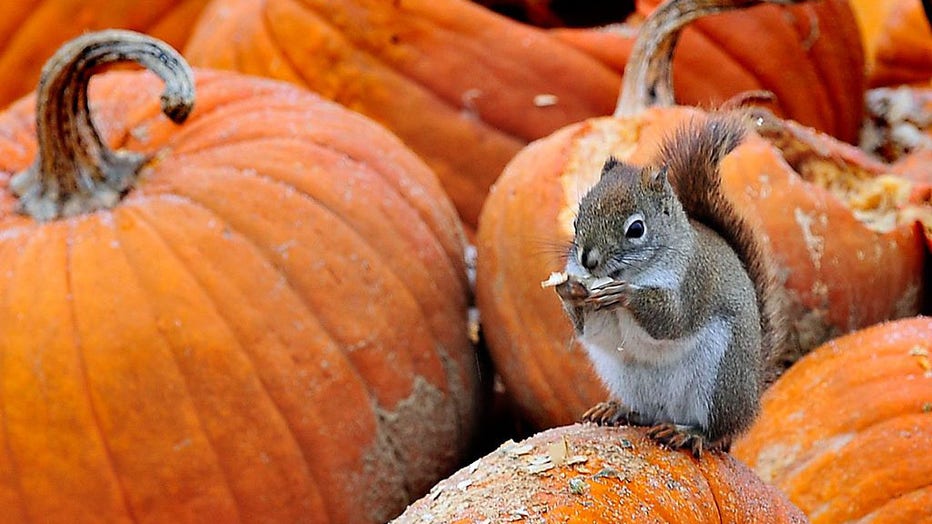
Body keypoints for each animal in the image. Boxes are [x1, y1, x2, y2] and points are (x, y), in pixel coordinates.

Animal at [548, 113, 792, 454]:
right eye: (576, 219)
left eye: (636, 229)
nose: (588, 261)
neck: (635, 272)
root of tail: (752, 399)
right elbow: (593, 330)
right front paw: (568, 290)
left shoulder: (693, 281)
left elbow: (672, 321)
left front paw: (625, 294)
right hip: (626, 378)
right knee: (647, 412)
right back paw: (619, 409)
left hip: (718, 380)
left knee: (716, 430)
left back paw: (690, 433)